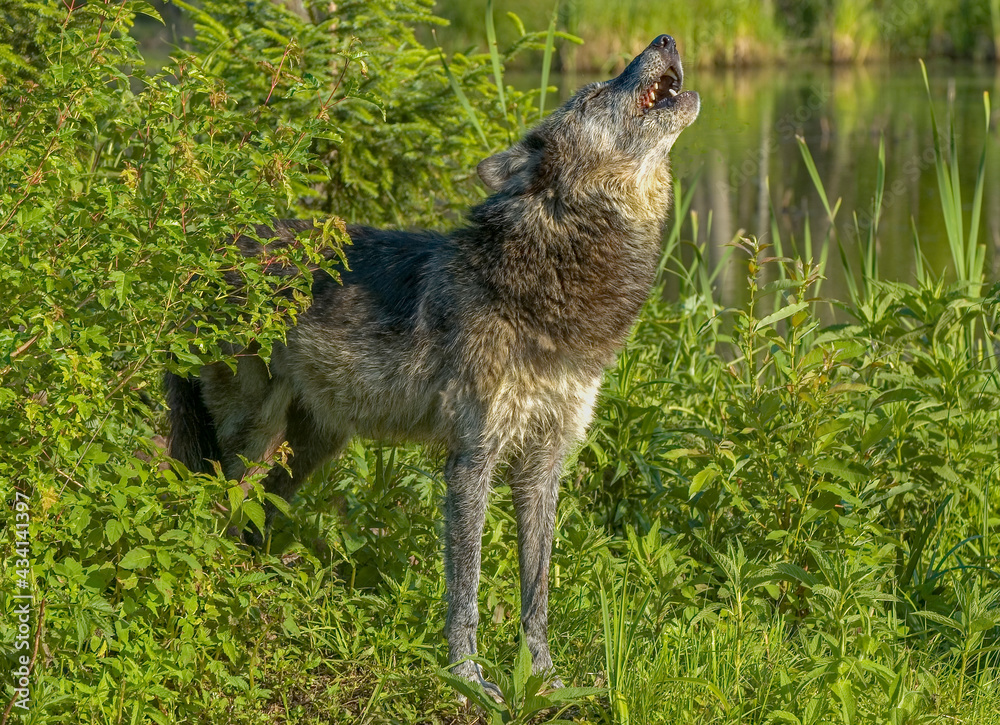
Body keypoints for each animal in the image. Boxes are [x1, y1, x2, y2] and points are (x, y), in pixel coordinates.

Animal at [165, 34, 699, 695]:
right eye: (596, 92)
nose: (665, 39)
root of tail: (204, 261)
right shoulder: (473, 458)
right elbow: (465, 587)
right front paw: (467, 677)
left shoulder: (545, 463)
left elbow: (537, 591)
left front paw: (543, 677)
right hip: (253, 436)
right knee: (218, 506)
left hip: (313, 448)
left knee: (258, 514)